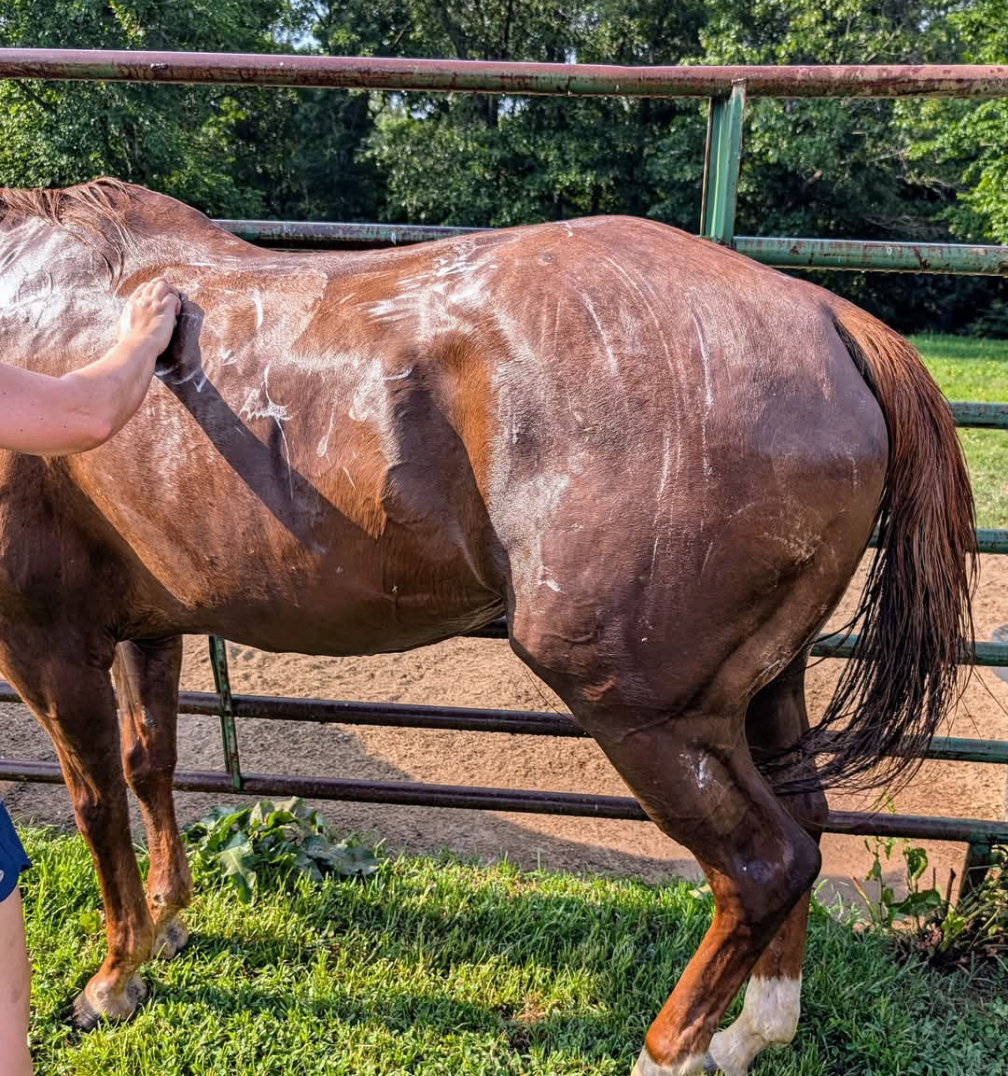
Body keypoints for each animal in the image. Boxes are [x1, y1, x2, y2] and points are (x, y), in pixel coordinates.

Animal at [0, 180, 975, 1076]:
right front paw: (168, 922)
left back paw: (671, 1050)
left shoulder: (45, 643)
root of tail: (826, 316)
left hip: (650, 715)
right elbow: (149, 764)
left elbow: (94, 801)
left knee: (764, 866)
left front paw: (114, 978)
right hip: (766, 685)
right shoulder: (145, 628)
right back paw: (749, 1035)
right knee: (805, 823)